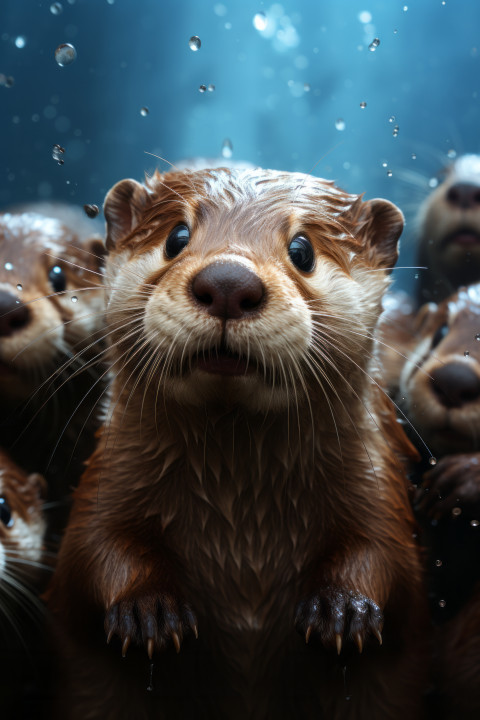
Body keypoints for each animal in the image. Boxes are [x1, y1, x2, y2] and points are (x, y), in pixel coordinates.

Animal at [48, 167, 427, 719]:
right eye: (177, 236)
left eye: (302, 250)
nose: (228, 283)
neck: (242, 521)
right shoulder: (104, 481)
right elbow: (90, 552)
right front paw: (147, 609)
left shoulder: (382, 484)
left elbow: (389, 558)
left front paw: (344, 609)